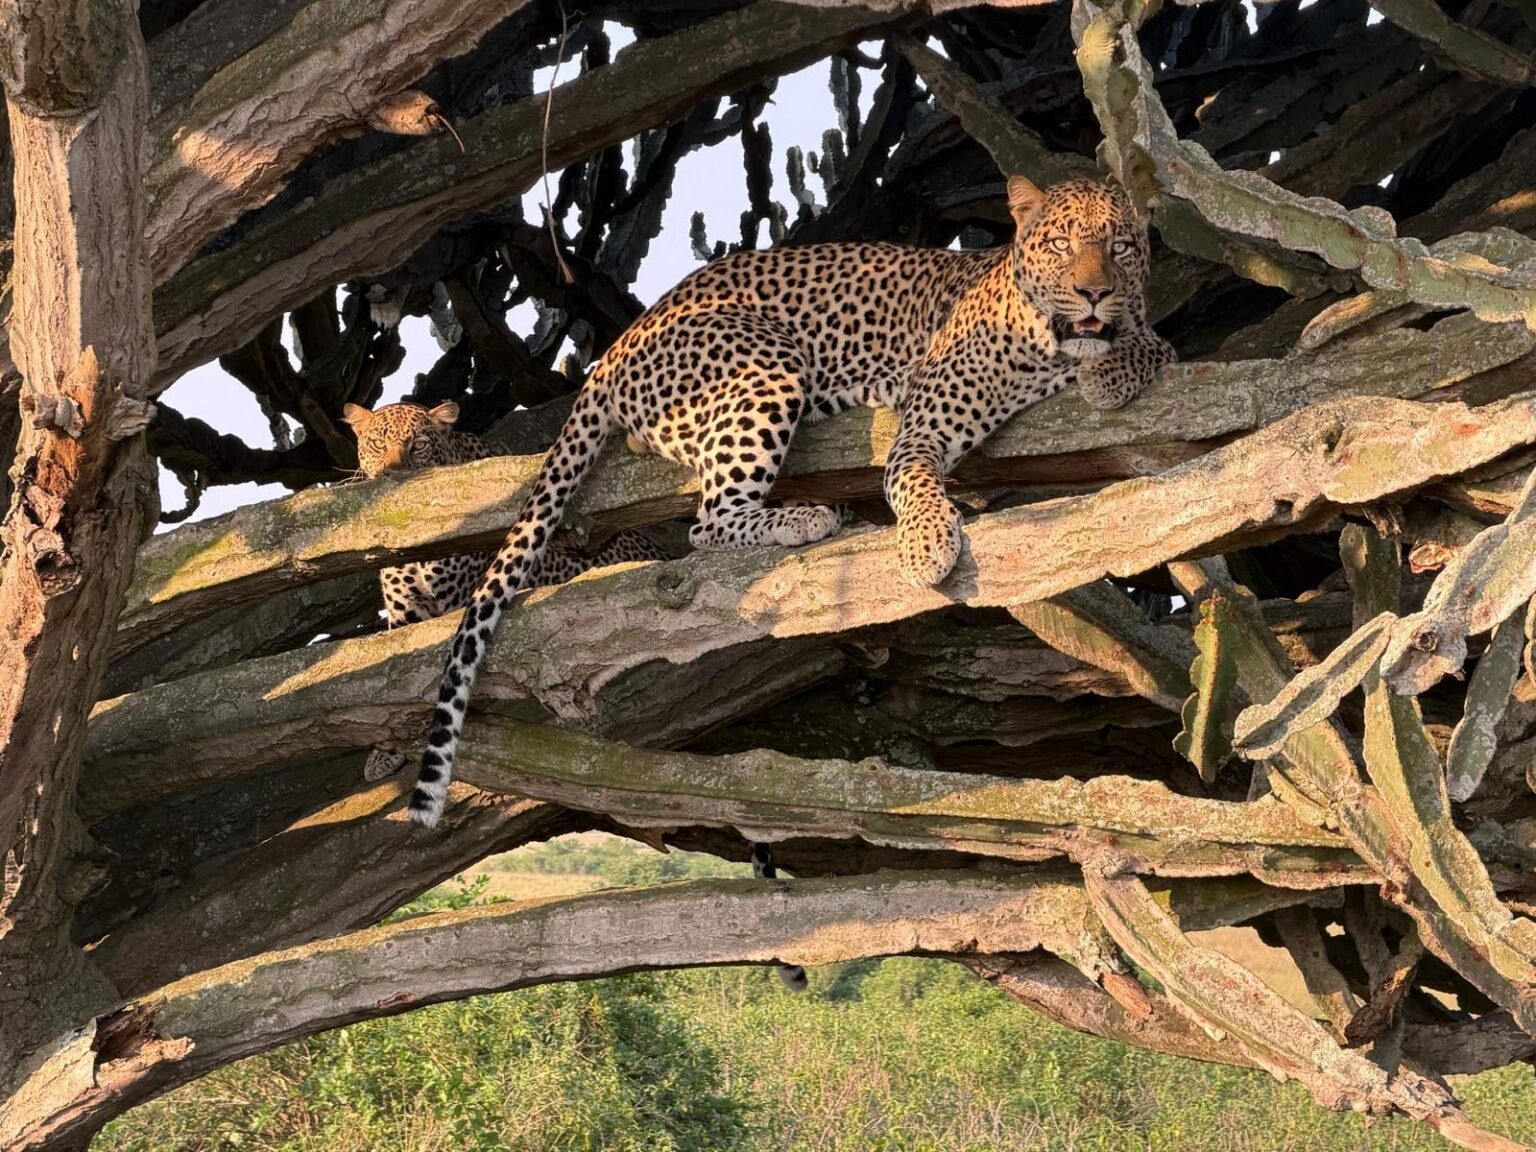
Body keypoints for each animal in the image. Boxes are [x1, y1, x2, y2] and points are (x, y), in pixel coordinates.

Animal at [408, 175, 1174, 838]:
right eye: (1061, 244)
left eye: (1120, 246)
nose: (1094, 292)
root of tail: (621, 339)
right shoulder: (923, 420)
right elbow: (914, 481)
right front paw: (928, 545)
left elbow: (1152, 340)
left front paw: (1116, 364)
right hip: (764, 361)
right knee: (709, 523)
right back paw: (806, 516)